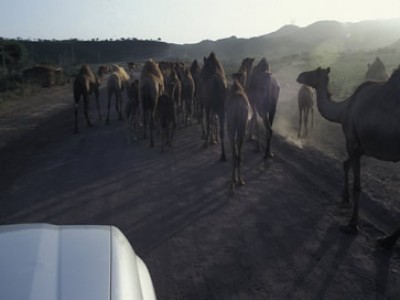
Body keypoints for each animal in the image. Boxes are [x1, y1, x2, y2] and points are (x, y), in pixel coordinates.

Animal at [296, 67, 400, 247]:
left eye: (315, 72)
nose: (300, 76)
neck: (344, 110)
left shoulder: (352, 143)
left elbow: (357, 185)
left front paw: (352, 224)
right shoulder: (361, 147)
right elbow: (345, 164)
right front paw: (345, 198)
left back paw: (388, 240)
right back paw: (389, 239)